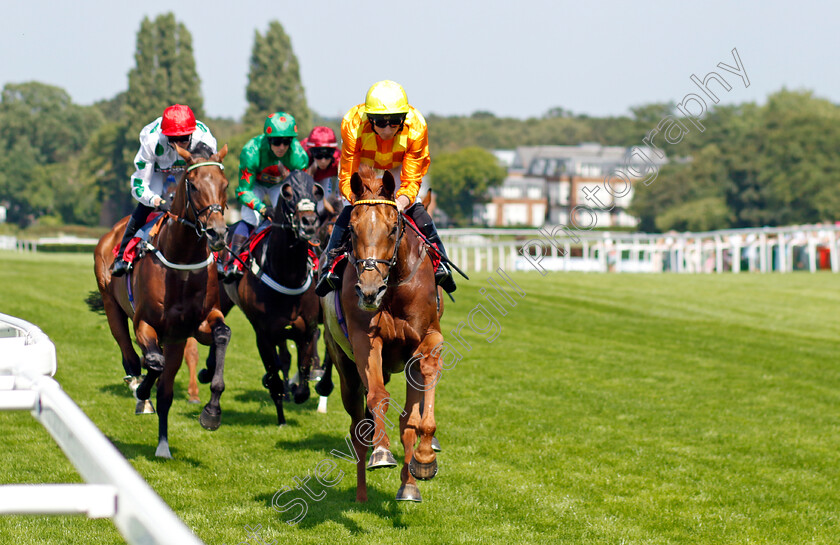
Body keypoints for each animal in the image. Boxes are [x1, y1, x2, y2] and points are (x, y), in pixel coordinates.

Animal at [94, 142, 231, 456]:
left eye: (225, 184)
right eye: (193, 185)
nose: (217, 233)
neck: (182, 260)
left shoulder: (198, 324)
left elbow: (222, 335)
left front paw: (211, 412)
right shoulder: (145, 323)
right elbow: (153, 361)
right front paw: (143, 391)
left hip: (176, 340)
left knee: (166, 390)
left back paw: (163, 445)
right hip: (111, 304)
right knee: (132, 356)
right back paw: (138, 389)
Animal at [208, 170, 326, 424]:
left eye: (315, 191)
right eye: (288, 193)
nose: (309, 222)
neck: (288, 275)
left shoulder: (307, 329)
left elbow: (302, 377)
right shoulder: (263, 335)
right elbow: (275, 378)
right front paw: (281, 416)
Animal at [318, 165, 442, 502]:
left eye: (392, 228)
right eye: (352, 230)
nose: (369, 290)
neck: (394, 287)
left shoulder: (425, 339)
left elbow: (413, 415)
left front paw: (424, 459)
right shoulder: (365, 340)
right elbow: (377, 396)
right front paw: (382, 452)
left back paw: (408, 484)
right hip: (344, 367)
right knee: (357, 425)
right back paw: (362, 493)